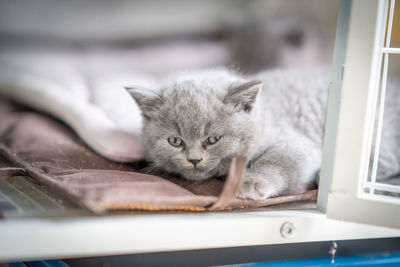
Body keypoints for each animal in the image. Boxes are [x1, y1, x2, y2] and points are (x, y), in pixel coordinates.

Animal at [127, 68, 400, 200]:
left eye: (212, 139)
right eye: (175, 141)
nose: (194, 159)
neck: (265, 116)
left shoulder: (298, 142)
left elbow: (277, 160)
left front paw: (251, 182)